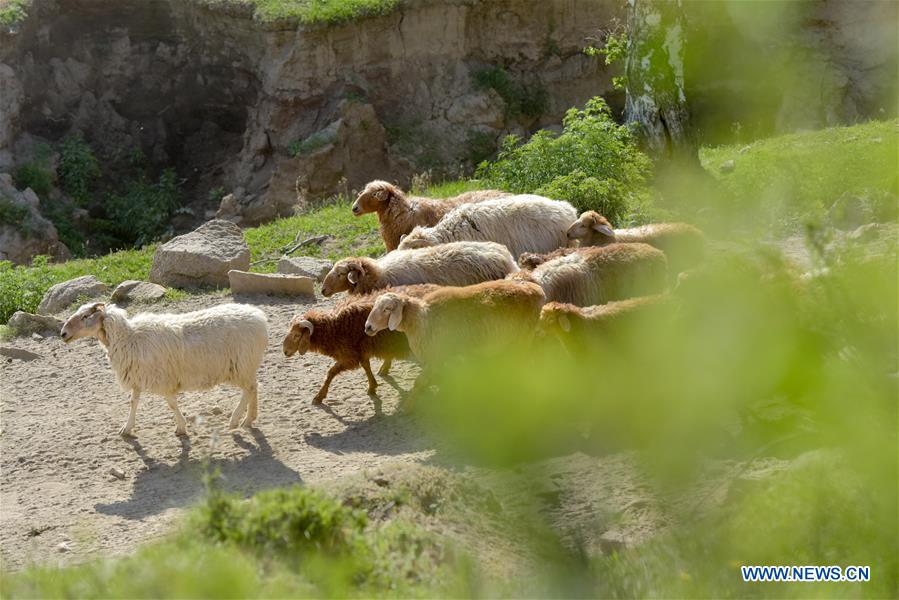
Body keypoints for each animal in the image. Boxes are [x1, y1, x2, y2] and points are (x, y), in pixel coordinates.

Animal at [61, 302, 268, 434]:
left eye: (85, 316)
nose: (62, 333)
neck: (129, 337)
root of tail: (259, 317)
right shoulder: (137, 377)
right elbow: (133, 402)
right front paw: (126, 428)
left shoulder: (163, 379)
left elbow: (171, 404)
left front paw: (181, 428)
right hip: (245, 366)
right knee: (254, 387)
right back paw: (249, 419)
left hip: (241, 365)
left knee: (249, 389)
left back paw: (236, 420)